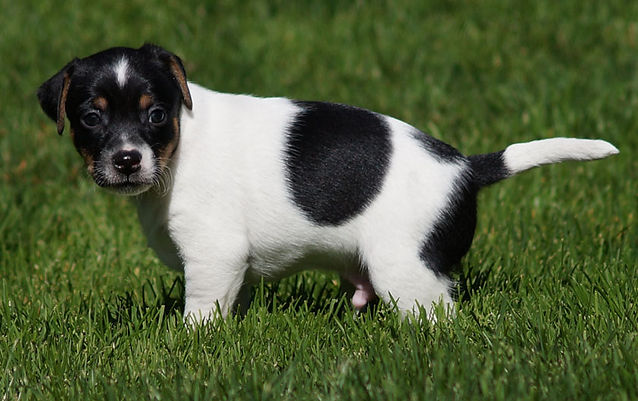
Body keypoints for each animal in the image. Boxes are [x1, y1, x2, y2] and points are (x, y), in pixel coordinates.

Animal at [37, 44, 619, 322]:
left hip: (407, 270)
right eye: (91, 117)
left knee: (440, 315)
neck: (180, 147)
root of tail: (467, 168)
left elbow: (201, 312)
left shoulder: (213, 256)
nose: (127, 160)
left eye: (156, 114)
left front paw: (190, 346)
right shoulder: (233, 270)